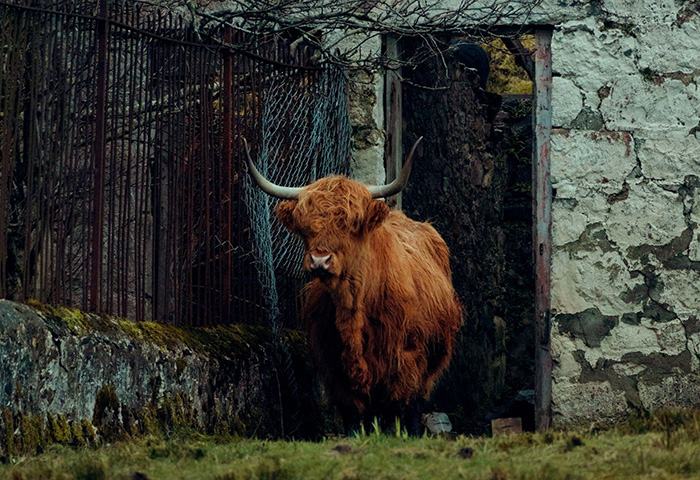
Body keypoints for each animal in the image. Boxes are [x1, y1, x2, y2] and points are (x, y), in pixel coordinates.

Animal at [244, 138, 462, 434]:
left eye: (351, 224)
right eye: (306, 227)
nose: (320, 260)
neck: (354, 305)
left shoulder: (406, 359)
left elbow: (398, 408)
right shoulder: (335, 363)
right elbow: (353, 411)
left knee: (414, 403)